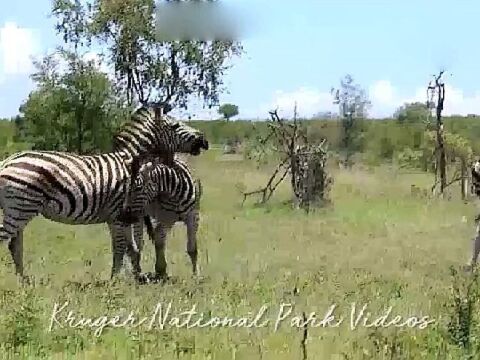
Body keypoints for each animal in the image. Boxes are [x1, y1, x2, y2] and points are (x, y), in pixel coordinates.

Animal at [0, 105, 208, 278]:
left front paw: (131, 277)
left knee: (14, 245)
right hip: (20, 208)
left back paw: (24, 282)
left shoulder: (121, 215)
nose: (204, 141)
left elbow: (127, 248)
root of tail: (6, 162)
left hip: (20, 210)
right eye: (175, 126)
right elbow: (121, 247)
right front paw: (115, 280)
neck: (130, 162)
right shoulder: (120, 214)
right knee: (7, 240)